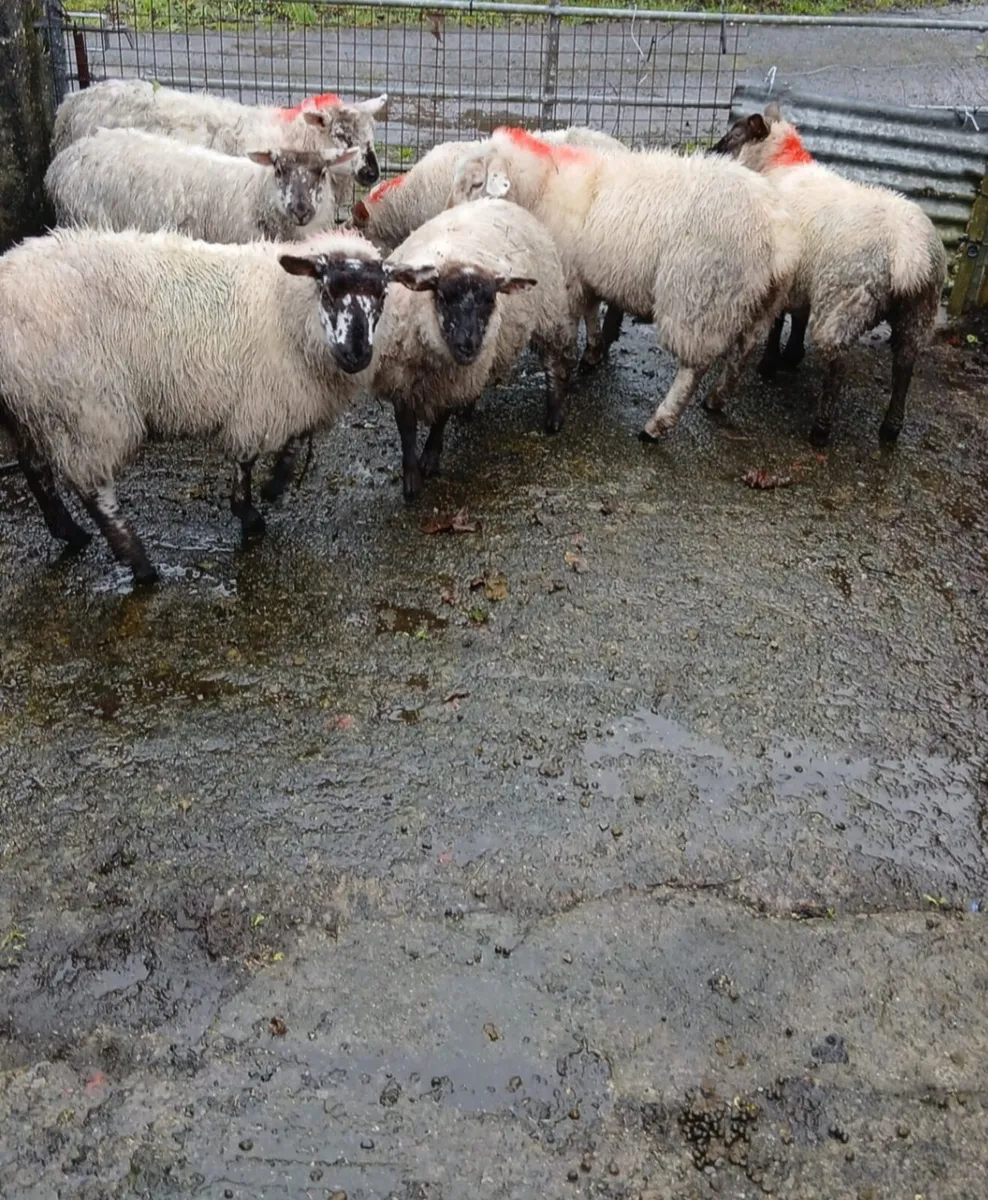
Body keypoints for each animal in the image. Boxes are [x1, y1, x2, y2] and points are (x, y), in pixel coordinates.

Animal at [0, 227, 394, 585]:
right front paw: (249, 514)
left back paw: (70, 533)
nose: (357, 354)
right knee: (94, 489)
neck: (286, 304)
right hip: (86, 404)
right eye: (328, 291)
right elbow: (246, 460)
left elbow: (295, 440)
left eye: (382, 294)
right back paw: (140, 565)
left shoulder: (293, 395)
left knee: (35, 469)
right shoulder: (258, 401)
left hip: (33, 406)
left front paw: (276, 483)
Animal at [46, 128, 359, 244]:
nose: (301, 210)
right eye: (279, 170)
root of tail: (58, 164)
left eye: (322, 172)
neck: (256, 193)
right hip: (82, 217)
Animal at [448, 127, 801, 440]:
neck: (544, 183)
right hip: (758, 303)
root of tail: (777, 237)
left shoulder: (566, 278)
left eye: (477, 183)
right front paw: (593, 351)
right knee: (742, 351)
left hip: (699, 295)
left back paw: (659, 423)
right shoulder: (586, 273)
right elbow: (592, 312)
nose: (454, 223)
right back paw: (717, 398)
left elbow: (571, 326)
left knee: (693, 366)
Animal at [712, 103, 947, 446]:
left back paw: (821, 429)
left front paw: (770, 364)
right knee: (904, 365)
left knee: (838, 367)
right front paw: (792, 355)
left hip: (844, 299)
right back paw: (891, 428)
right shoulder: (803, 277)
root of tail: (907, 252)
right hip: (920, 309)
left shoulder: (787, 273)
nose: (711, 152)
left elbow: (779, 321)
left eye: (734, 134)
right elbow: (797, 318)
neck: (778, 165)